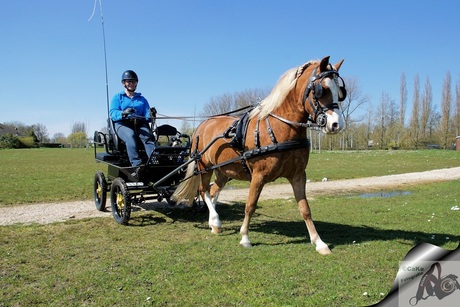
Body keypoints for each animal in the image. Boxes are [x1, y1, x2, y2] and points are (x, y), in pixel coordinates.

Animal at [172, 56, 344, 255]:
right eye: (321, 89)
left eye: (340, 91)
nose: (336, 124)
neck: (281, 128)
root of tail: (203, 124)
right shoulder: (258, 176)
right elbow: (250, 206)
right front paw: (245, 238)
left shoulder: (298, 175)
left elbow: (305, 208)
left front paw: (319, 242)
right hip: (204, 167)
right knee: (203, 190)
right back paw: (215, 220)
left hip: (224, 172)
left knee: (214, 191)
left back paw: (214, 223)